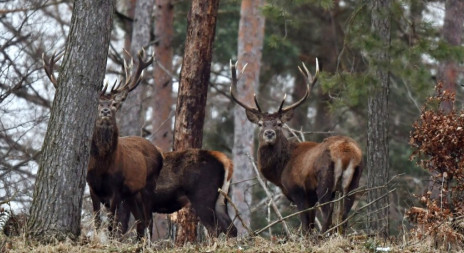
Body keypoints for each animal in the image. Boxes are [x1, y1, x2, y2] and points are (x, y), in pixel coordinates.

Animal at [43, 49, 163, 239]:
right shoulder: (93, 188)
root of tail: (160, 153)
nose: (106, 111)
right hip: (133, 194)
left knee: (149, 220)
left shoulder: (116, 189)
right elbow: (98, 221)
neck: (102, 166)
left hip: (149, 185)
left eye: (114, 103)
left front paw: (108, 240)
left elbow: (112, 224)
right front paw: (98, 237)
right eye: (98, 105)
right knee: (140, 221)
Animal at [230, 59, 364, 233]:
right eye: (260, 124)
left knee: (328, 214)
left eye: (279, 124)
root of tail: (347, 152)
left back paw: (323, 234)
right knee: (344, 215)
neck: (280, 172)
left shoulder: (298, 190)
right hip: (353, 181)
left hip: (325, 182)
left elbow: (305, 224)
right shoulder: (310, 197)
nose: (269, 133)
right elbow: (311, 223)